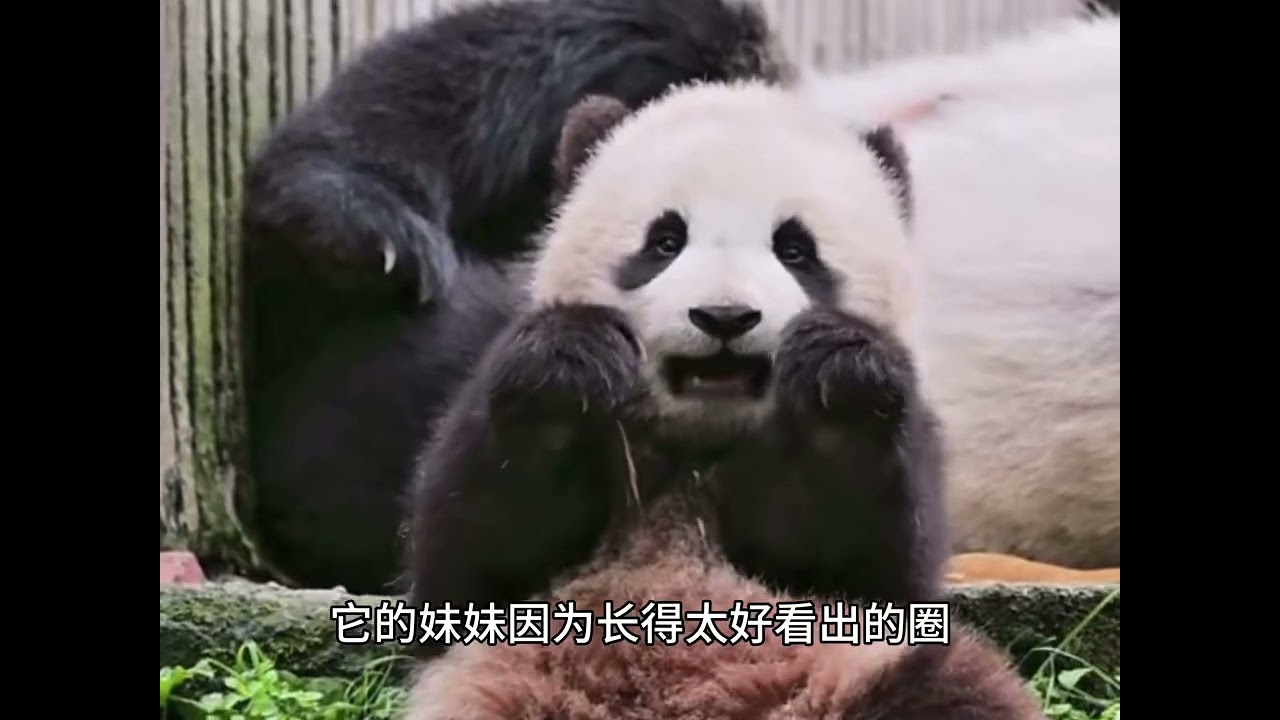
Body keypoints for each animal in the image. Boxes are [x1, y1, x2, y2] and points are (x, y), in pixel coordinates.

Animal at [401, 80, 1044, 720]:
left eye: (796, 250)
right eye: (664, 241)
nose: (725, 316)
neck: (703, 439)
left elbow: (877, 577)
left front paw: (840, 377)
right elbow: (469, 566)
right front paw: (567, 365)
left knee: (951, 689)